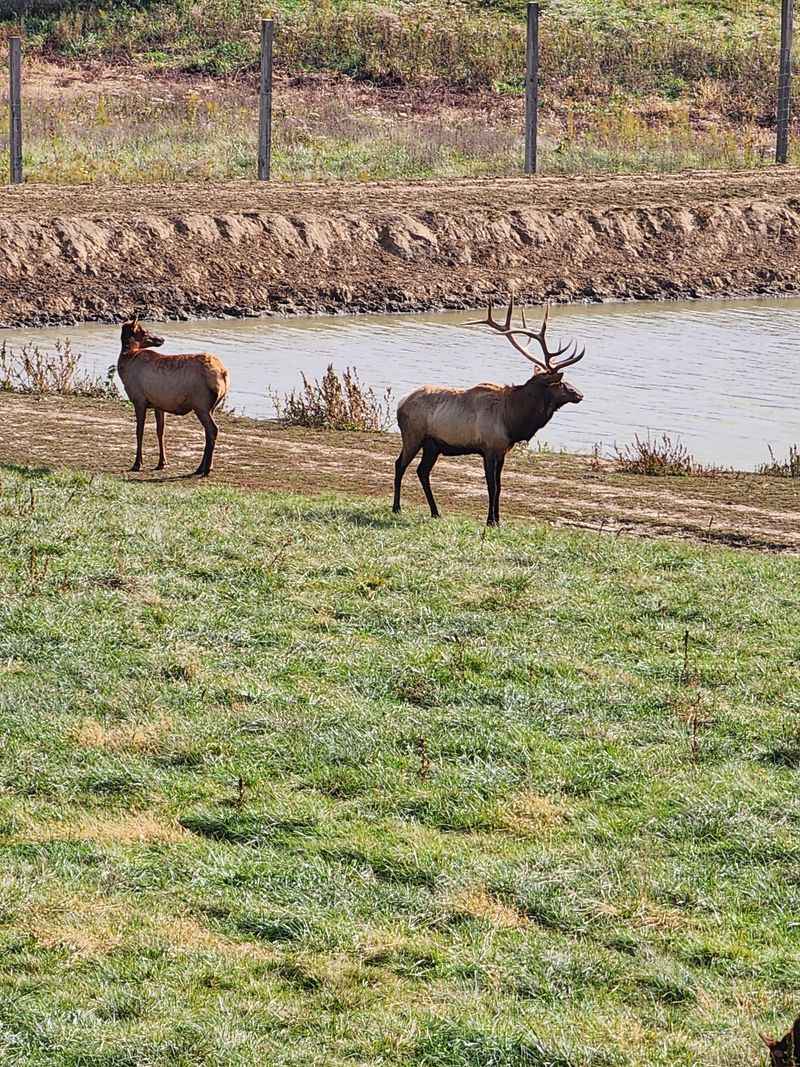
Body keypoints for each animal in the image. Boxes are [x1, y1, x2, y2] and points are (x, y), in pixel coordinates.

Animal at [117, 319, 230, 477]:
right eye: (144, 331)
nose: (161, 339)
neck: (126, 361)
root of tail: (223, 374)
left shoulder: (139, 400)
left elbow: (139, 431)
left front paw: (137, 464)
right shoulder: (158, 404)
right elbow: (160, 431)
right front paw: (162, 463)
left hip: (201, 405)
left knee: (213, 430)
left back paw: (206, 469)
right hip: (210, 407)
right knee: (208, 432)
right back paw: (201, 468)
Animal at [392, 297, 585, 526]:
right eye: (561, 384)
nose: (580, 394)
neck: (513, 420)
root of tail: (400, 404)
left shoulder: (502, 450)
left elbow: (500, 487)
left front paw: (498, 520)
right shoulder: (489, 448)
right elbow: (491, 486)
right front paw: (490, 521)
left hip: (433, 445)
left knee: (422, 471)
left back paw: (435, 512)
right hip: (413, 436)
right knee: (400, 465)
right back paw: (396, 507)